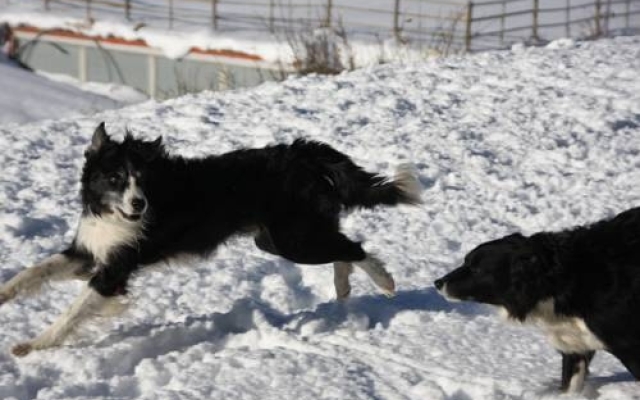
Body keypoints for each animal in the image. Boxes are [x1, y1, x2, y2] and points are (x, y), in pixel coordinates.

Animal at [0, 122, 422, 356]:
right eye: (115, 178)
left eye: (143, 180)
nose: (139, 204)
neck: (111, 213)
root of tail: (303, 154)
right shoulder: (89, 254)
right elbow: (34, 272)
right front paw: (4, 295)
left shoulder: (114, 270)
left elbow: (71, 313)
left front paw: (33, 345)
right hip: (279, 237)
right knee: (342, 245)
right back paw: (344, 285)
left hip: (291, 239)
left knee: (354, 247)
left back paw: (383, 281)